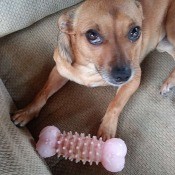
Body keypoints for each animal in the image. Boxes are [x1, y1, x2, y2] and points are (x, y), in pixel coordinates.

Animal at [11, 0, 175, 140]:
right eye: (92, 35)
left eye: (135, 31)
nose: (123, 76)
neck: (89, 68)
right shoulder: (59, 70)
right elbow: (42, 92)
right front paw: (27, 112)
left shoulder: (133, 80)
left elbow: (115, 105)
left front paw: (107, 130)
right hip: (163, 45)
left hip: (170, 29)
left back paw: (168, 82)